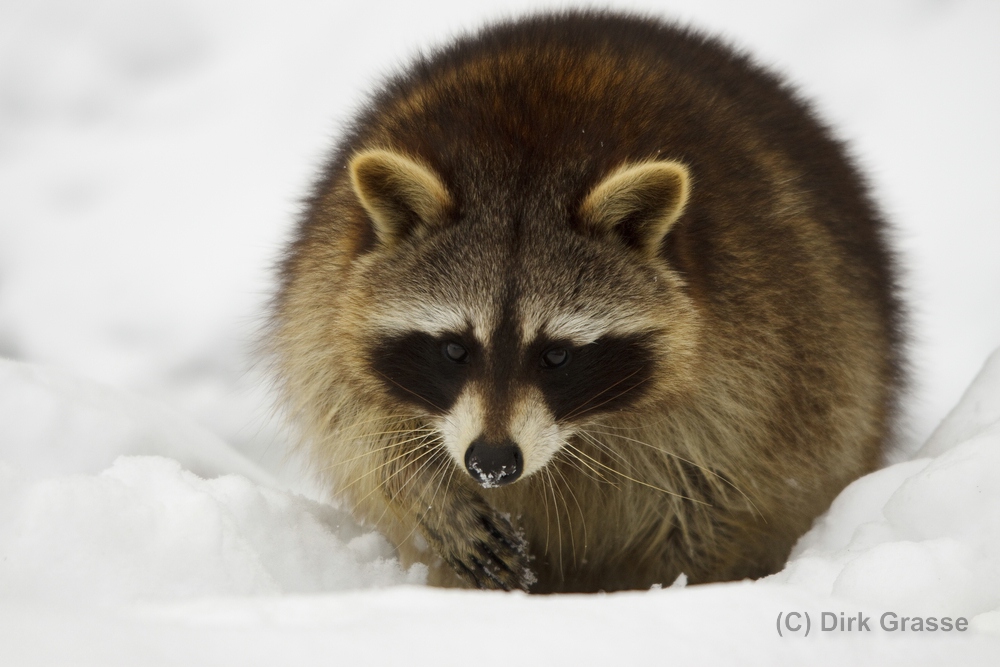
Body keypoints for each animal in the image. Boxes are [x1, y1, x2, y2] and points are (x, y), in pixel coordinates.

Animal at [272, 11, 908, 596]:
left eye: (556, 355)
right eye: (454, 349)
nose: (491, 463)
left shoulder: (764, 348)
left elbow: (726, 495)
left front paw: (667, 590)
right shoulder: (324, 291)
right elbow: (352, 423)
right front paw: (428, 495)